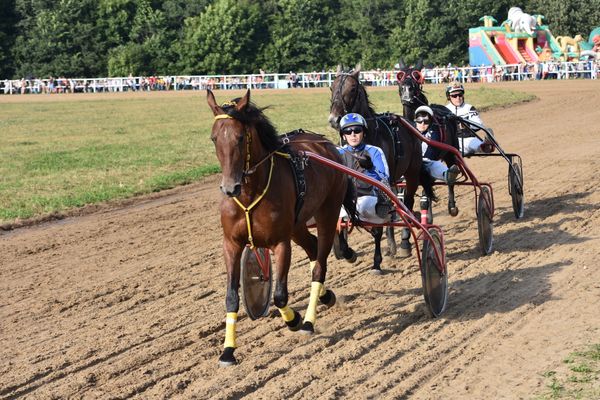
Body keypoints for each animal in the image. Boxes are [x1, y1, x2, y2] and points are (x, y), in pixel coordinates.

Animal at [207, 88, 356, 366]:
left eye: (240, 137)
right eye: (214, 138)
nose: (230, 188)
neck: (249, 194)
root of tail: (327, 145)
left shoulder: (280, 243)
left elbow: (279, 295)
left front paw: (294, 319)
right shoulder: (231, 244)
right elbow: (231, 297)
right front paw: (228, 350)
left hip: (328, 213)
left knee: (319, 264)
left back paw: (308, 320)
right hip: (297, 225)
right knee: (312, 247)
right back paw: (325, 295)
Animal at [330, 64, 424, 268]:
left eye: (352, 89)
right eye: (331, 87)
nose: (334, 119)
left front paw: (378, 259)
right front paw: (344, 250)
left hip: (412, 173)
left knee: (407, 202)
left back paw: (403, 242)